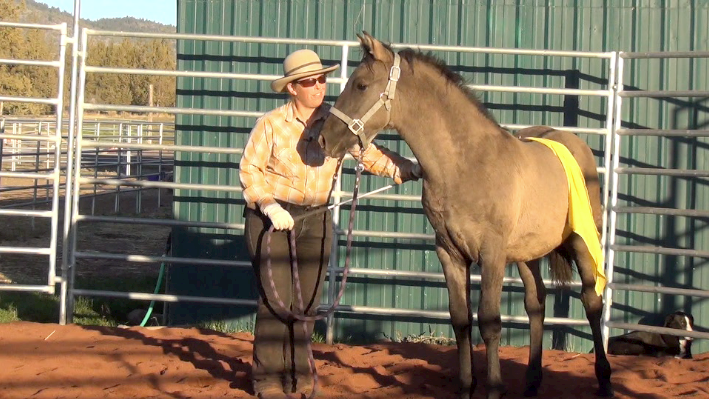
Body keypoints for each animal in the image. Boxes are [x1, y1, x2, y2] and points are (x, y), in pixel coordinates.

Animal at [318, 32, 612, 399]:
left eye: (360, 85)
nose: (324, 139)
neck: (465, 163)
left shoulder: (492, 253)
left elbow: (489, 321)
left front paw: (494, 388)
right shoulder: (449, 253)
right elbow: (460, 320)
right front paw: (465, 387)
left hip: (582, 242)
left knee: (592, 301)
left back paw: (604, 379)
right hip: (527, 254)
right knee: (536, 304)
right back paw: (531, 382)